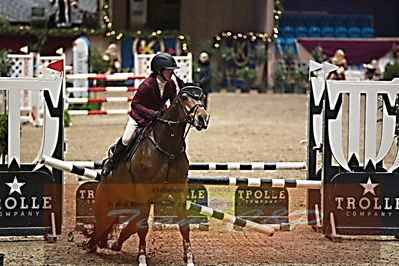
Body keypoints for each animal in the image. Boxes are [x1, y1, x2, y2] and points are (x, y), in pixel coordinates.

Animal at [86, 85, 211, 266]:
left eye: (202, 97)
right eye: (184, 98)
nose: (203, 118)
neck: (168, 148)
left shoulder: (179, 190)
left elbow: (184, 225)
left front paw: (189, 259)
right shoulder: (144, 193)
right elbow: (142, 228)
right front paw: (142, 259)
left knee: (125, 226)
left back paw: (112, 244)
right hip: (107, 203)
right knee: (102, 225)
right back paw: (91, 245)